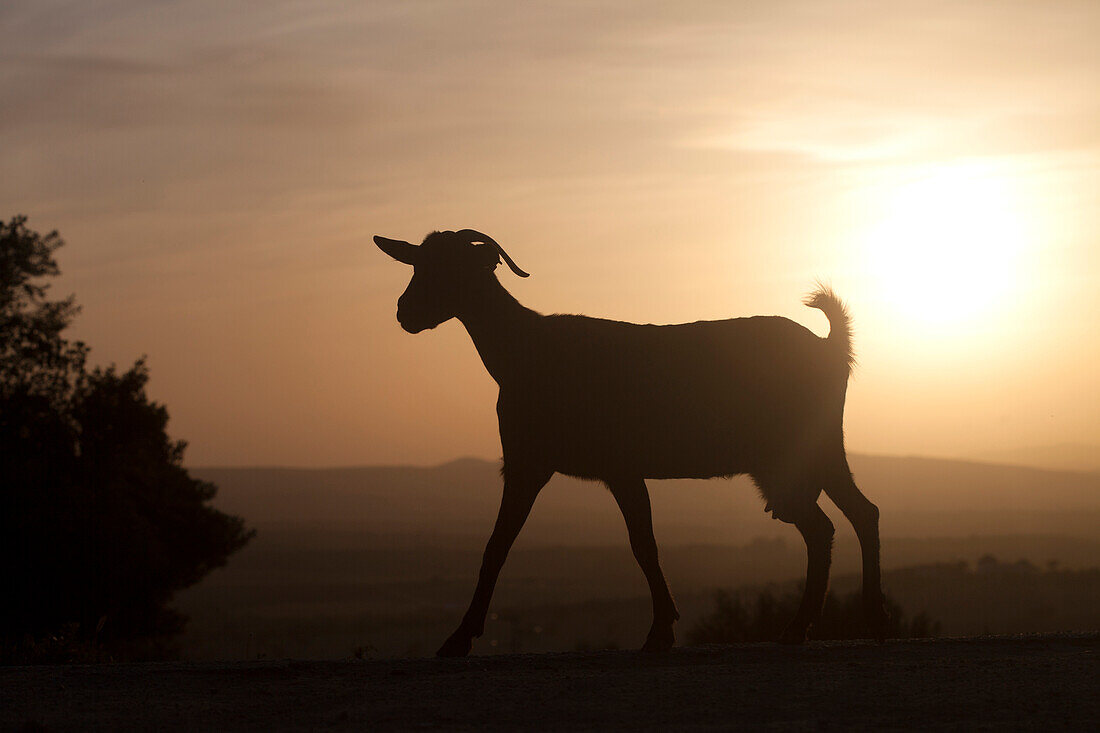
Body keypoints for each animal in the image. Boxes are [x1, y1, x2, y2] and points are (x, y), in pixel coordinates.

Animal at [374, 226, 888, 651]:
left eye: (456, 266)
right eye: (418, 264)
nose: (404, 312)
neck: (523, 351)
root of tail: (831, 346)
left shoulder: (588, 466)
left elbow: (633, 544)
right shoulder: (539, 464)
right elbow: (504, 545)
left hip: (794, 455)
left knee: (831, 523)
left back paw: (830, 622)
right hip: (819, 450)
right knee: (851, 516)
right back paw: (842, 621)